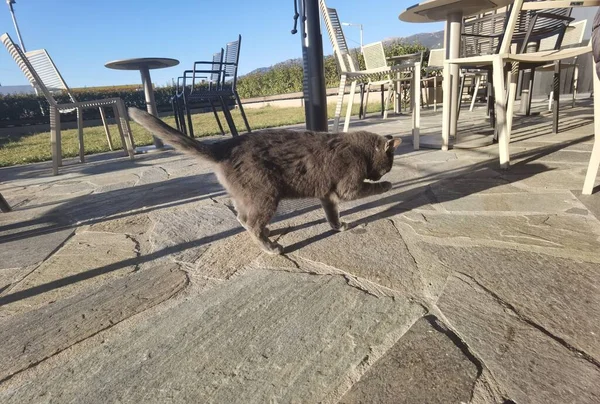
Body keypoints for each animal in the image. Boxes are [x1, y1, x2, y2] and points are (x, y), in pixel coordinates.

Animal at [129, 106, 400, 252]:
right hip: (265, 194)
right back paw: (271, 247)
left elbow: (332, 214)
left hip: (246, 196)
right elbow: (366, 189)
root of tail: (223, 147)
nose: (382, 173)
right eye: (387, 167)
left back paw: (267, 231)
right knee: (252, 223)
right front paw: (387, 185)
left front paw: (338, 226)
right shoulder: (347, 187)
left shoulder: (327, 194)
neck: (360, 150)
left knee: (242, 217)